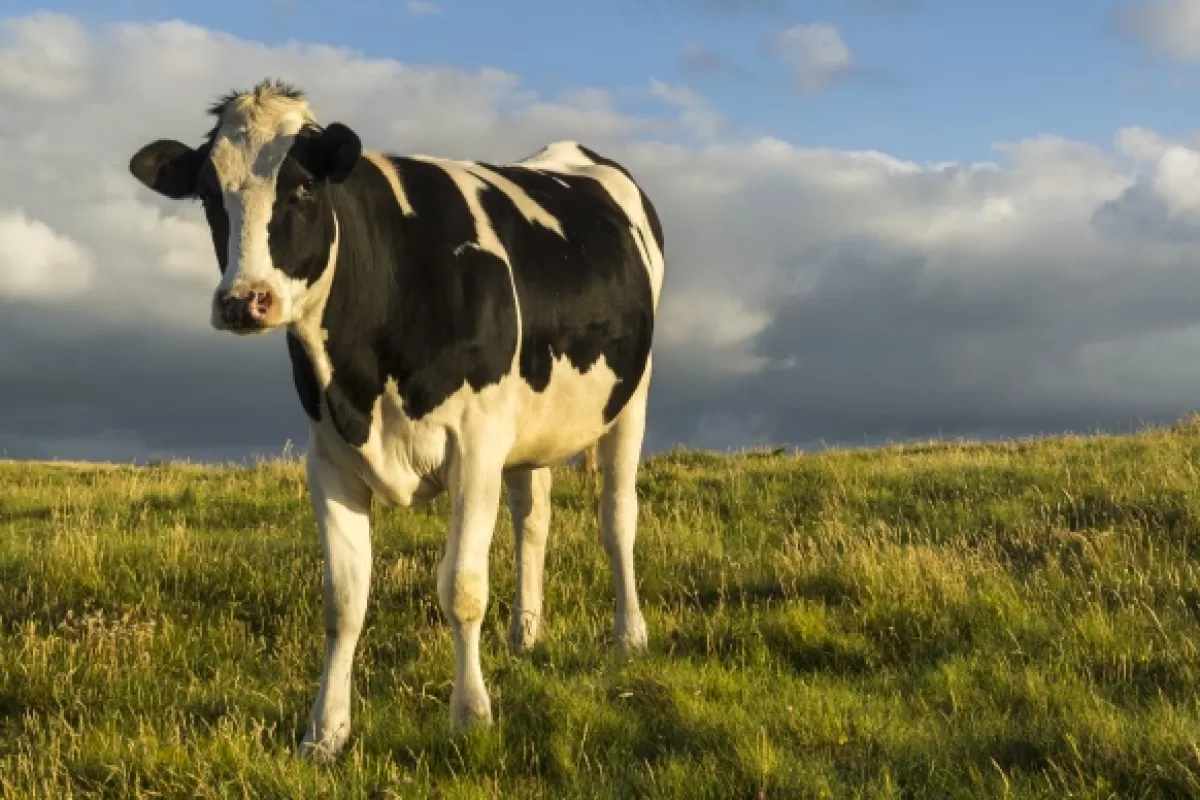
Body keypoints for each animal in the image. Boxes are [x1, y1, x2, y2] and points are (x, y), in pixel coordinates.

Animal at [127, 79, 665, 761]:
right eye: (206, 193)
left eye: (305, 186)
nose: (245, 301)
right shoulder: (329, 458)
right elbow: (343, 600)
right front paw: (325, 733)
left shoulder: (475, 448)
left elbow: (461, 588)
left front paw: (471, 716)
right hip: (529, 426)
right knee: (533, 519)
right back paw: (525, 634)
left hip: (632, 398)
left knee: (617, 519)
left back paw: (629, 638)